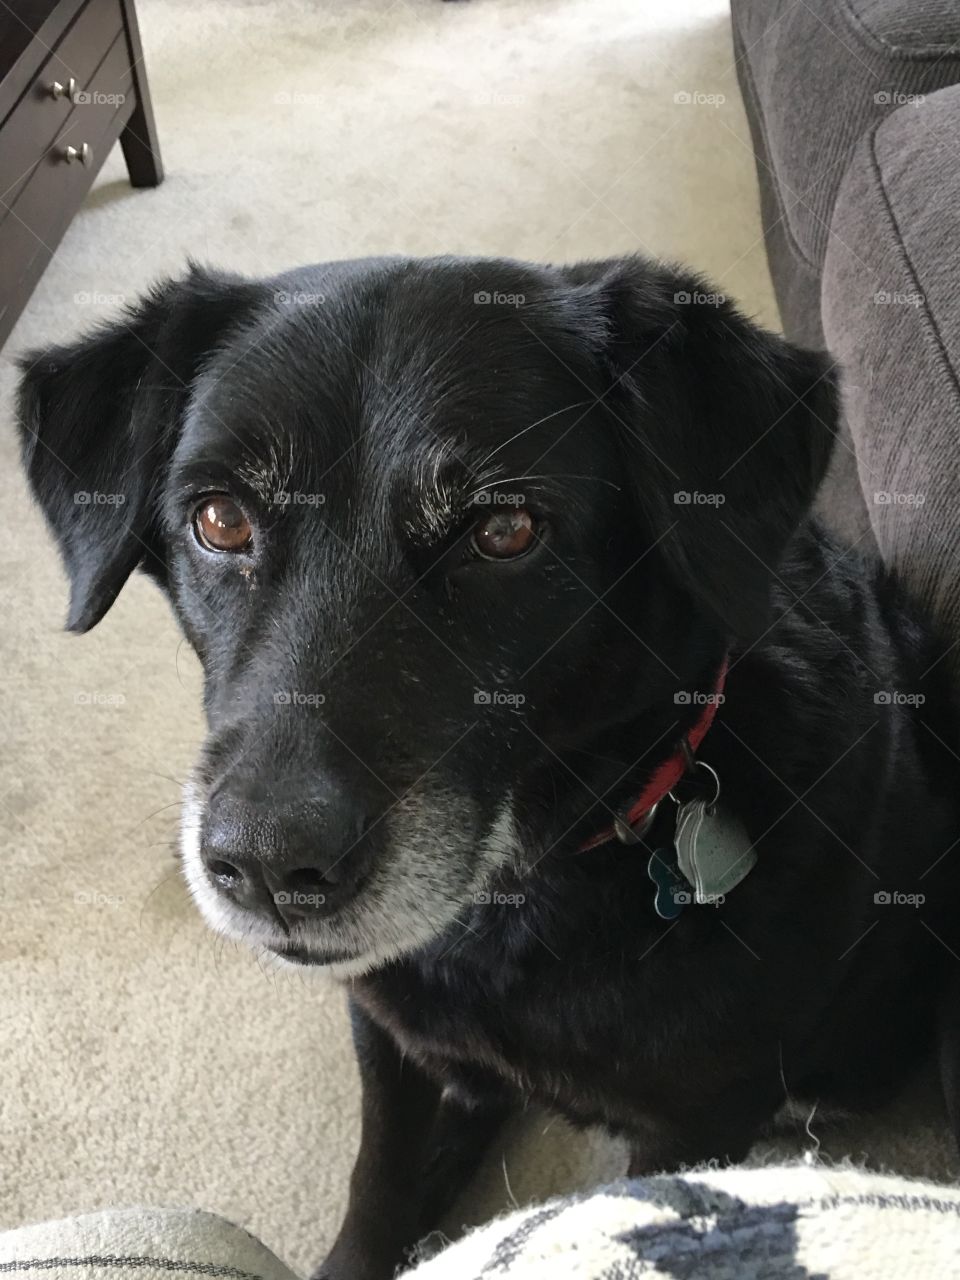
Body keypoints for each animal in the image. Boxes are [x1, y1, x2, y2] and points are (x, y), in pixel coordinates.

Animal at [15, 252, 960, 1280]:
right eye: (220, 520)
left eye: (505, 531)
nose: (267, 868)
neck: (527, 889)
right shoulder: (383, 1027)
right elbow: (379, 1177)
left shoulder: (699, 1123)